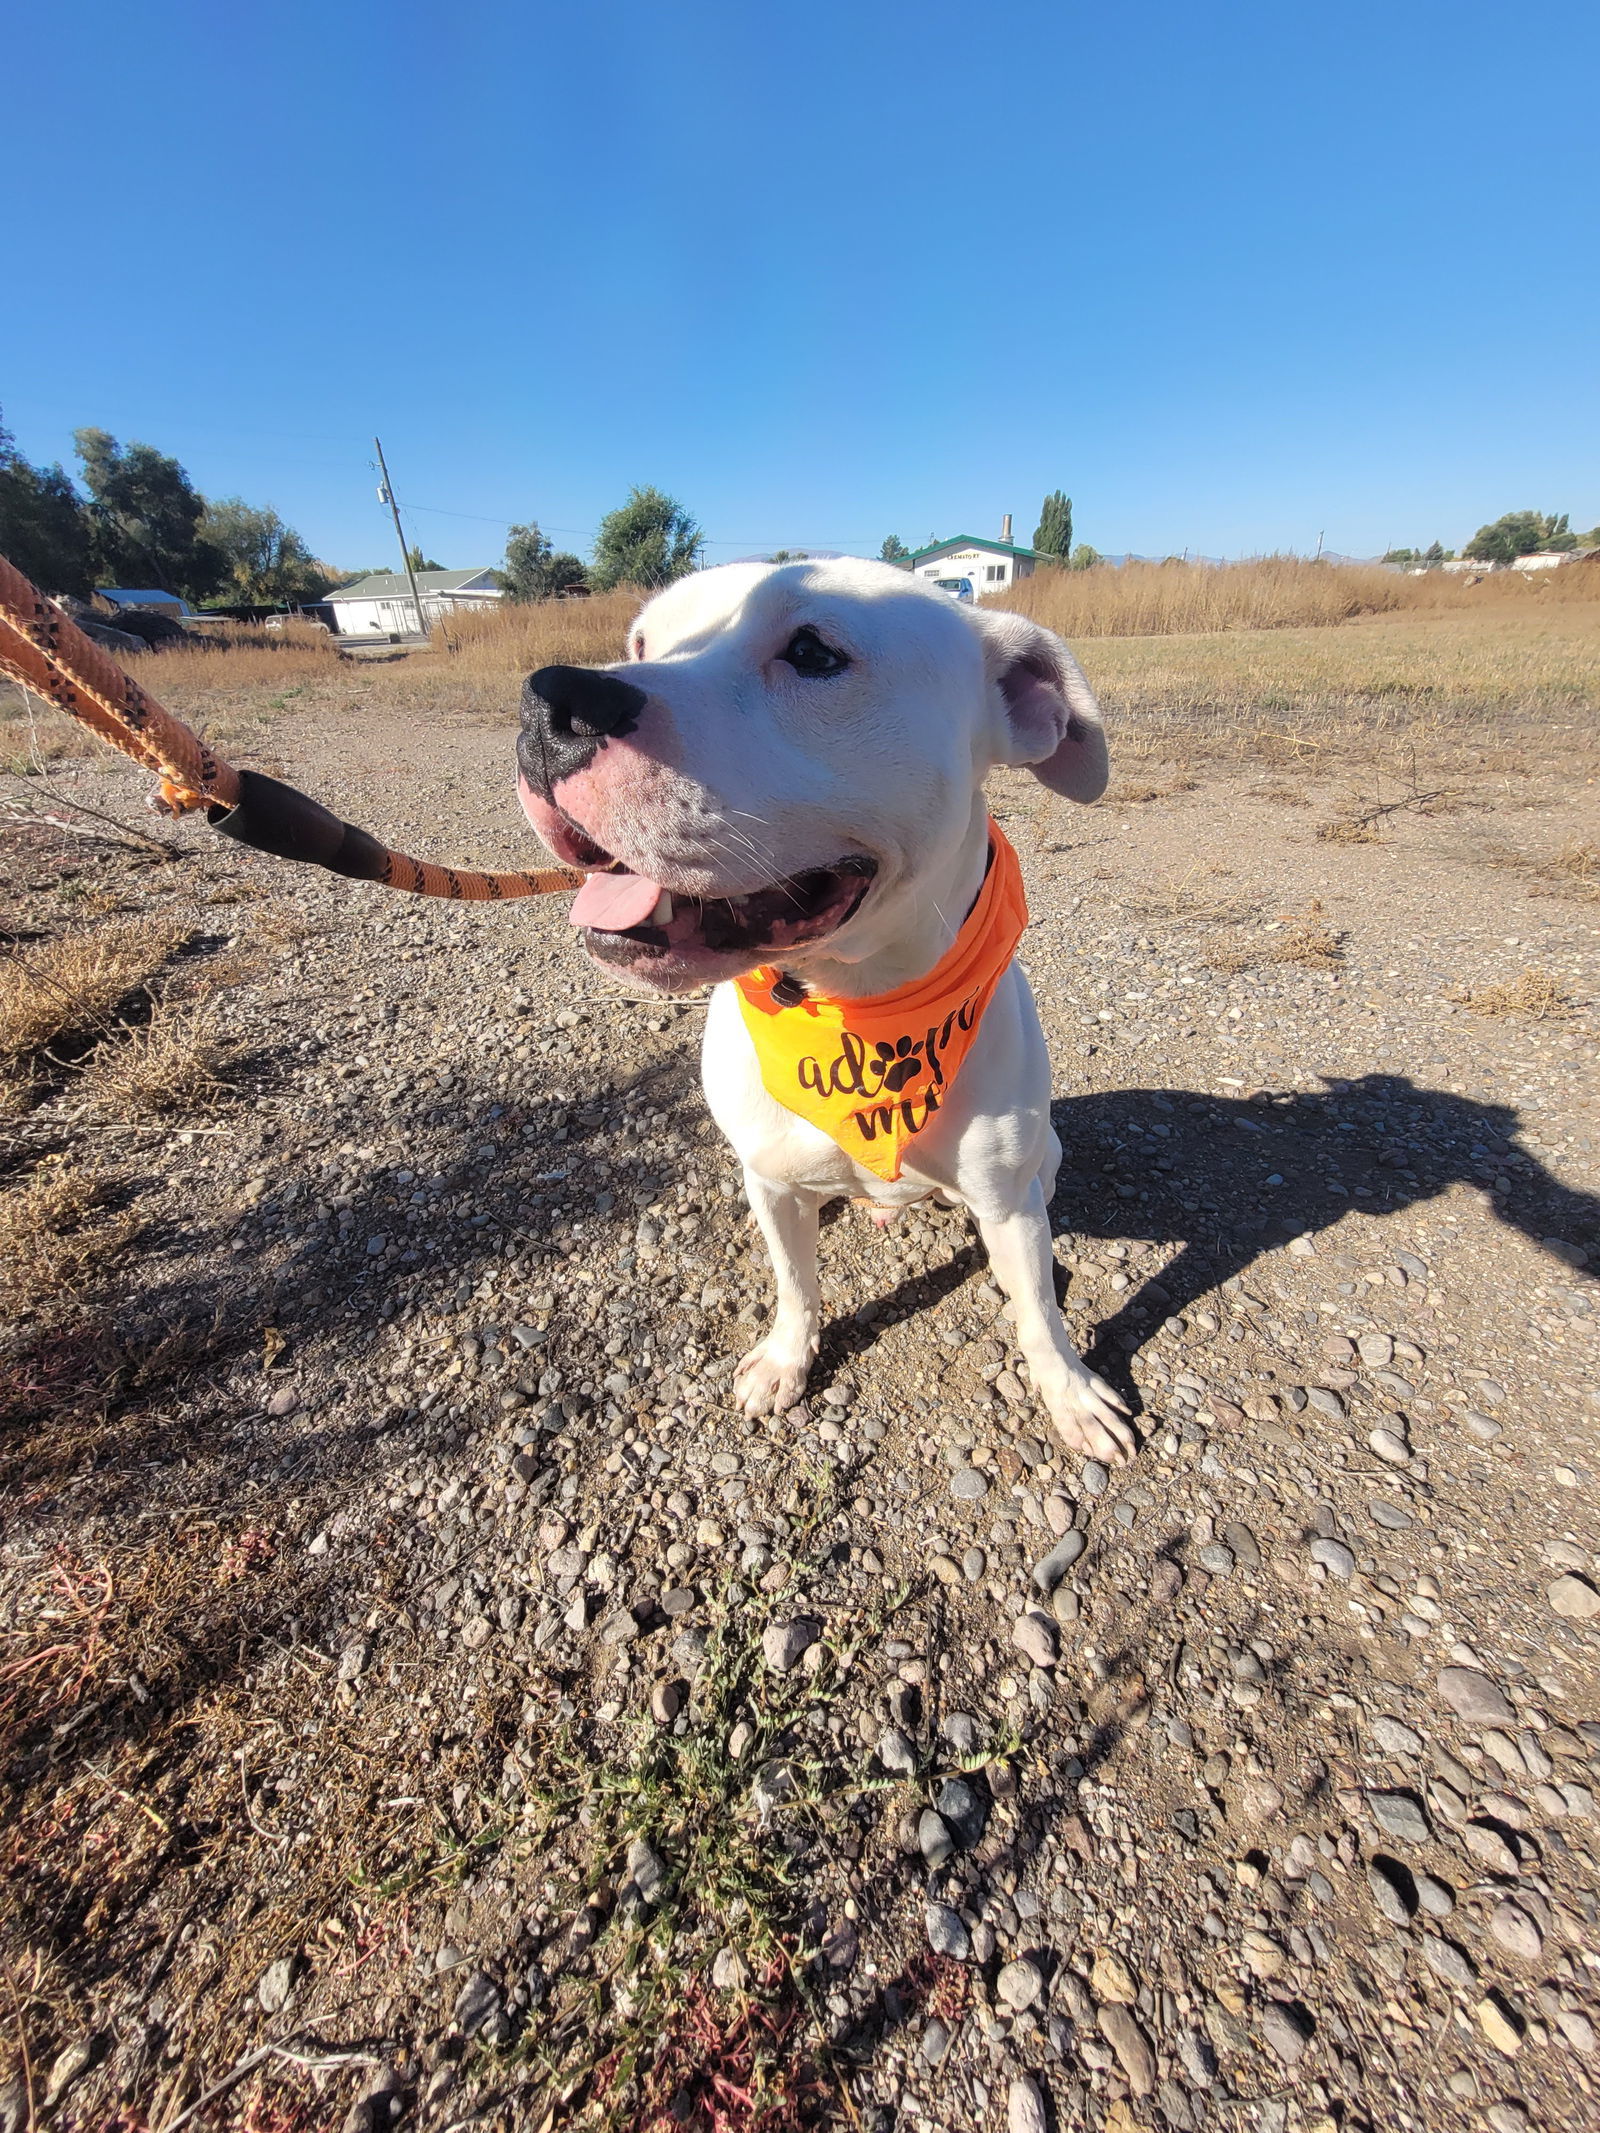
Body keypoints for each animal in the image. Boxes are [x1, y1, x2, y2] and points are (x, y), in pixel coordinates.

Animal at [520, 554, 1134, 1467]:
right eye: (641, 643)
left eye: (813, 652)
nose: (549, 701)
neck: (852, 1007)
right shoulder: (770, 1182)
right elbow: (795, 1283)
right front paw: (786, 1359)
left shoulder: (1009, 1200)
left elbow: (1038, 1313)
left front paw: (1071, 1391)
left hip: (1041, 1163)